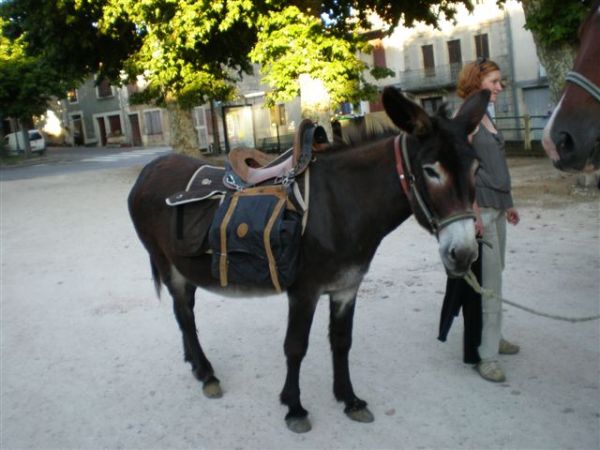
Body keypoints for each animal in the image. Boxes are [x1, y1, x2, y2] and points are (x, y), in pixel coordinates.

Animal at [128, 87, 490, 433]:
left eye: (476, 168)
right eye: (431, 171)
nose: (465, 254)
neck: (342, 204)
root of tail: (149, 169)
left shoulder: (346, 288)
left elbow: (342, 342)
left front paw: (349, 399)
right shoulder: (304, 291)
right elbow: (295, 347)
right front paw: (294, 407)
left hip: (184, 267)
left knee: (185, 313)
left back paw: (194, 363)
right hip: (167, 265)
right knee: (184, 315)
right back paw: (206, 374)